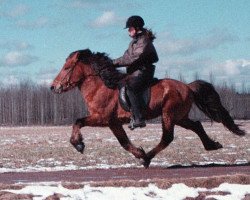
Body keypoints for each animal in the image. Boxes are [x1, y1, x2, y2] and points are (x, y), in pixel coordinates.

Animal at [50, 49, 246, 168]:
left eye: (67, 67)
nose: (53, 87)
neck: (101, 85)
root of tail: (188, 87)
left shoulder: (102, 118)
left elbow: (78, 121)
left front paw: (79, 144)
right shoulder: (113, 122)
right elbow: (123, 141)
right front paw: (138, 152)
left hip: (169, 115)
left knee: (167, 137)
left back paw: (147, 158)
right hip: (180, 117)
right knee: (196, 125)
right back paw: (212, 145)